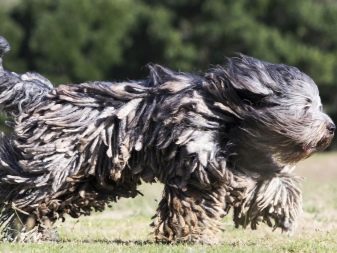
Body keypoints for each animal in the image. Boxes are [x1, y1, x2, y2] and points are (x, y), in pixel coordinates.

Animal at [0, 36, 332, 243]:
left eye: (318, 104)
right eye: (307, 106)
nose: (331, 128)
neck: (227, 117)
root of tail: (44, 95)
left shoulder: (242, 165)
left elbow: (273, 185)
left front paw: (286, 215)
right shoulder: (196, 168)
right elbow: (192, 205)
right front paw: (192, 236)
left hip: (88, 179)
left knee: (40, 203)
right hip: (50, 164)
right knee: (17, 183)